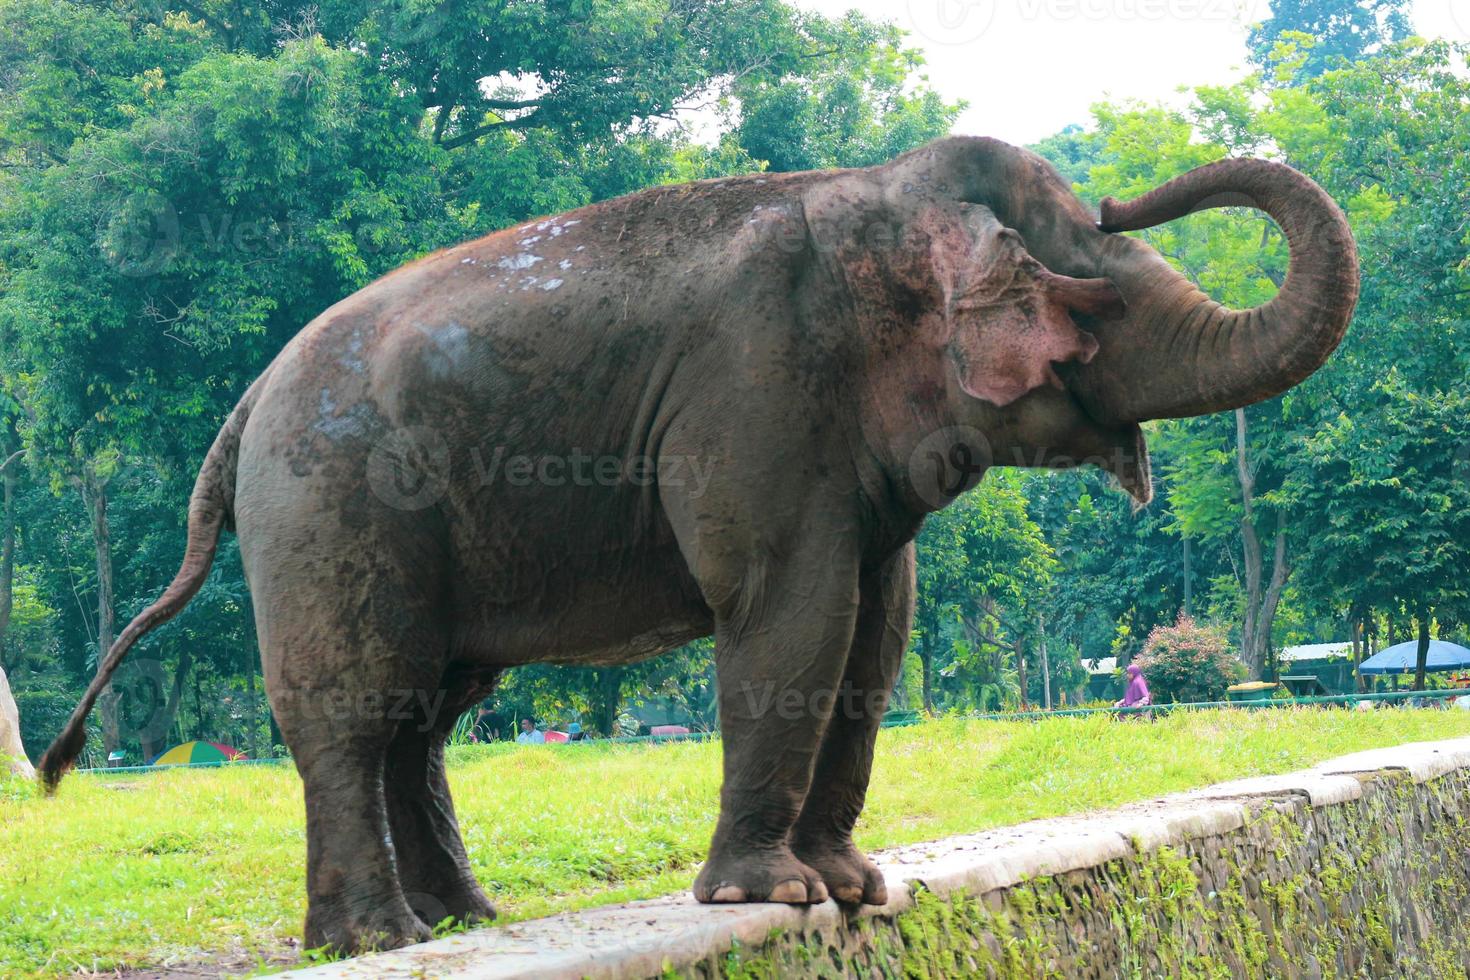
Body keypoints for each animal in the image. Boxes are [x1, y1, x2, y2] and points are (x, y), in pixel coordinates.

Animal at [40, 135, 1358, 952]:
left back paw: (471, 919)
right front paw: (773, 895)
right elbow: (790, 608)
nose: (1128, 195)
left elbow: (876, 630)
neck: (871, 192)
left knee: (428, 712)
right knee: (356, 709)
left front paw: (856, 887)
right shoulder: (756, 386)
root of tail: (246, 405)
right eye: (1091, 288)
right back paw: (379, 937)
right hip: (330, 505)